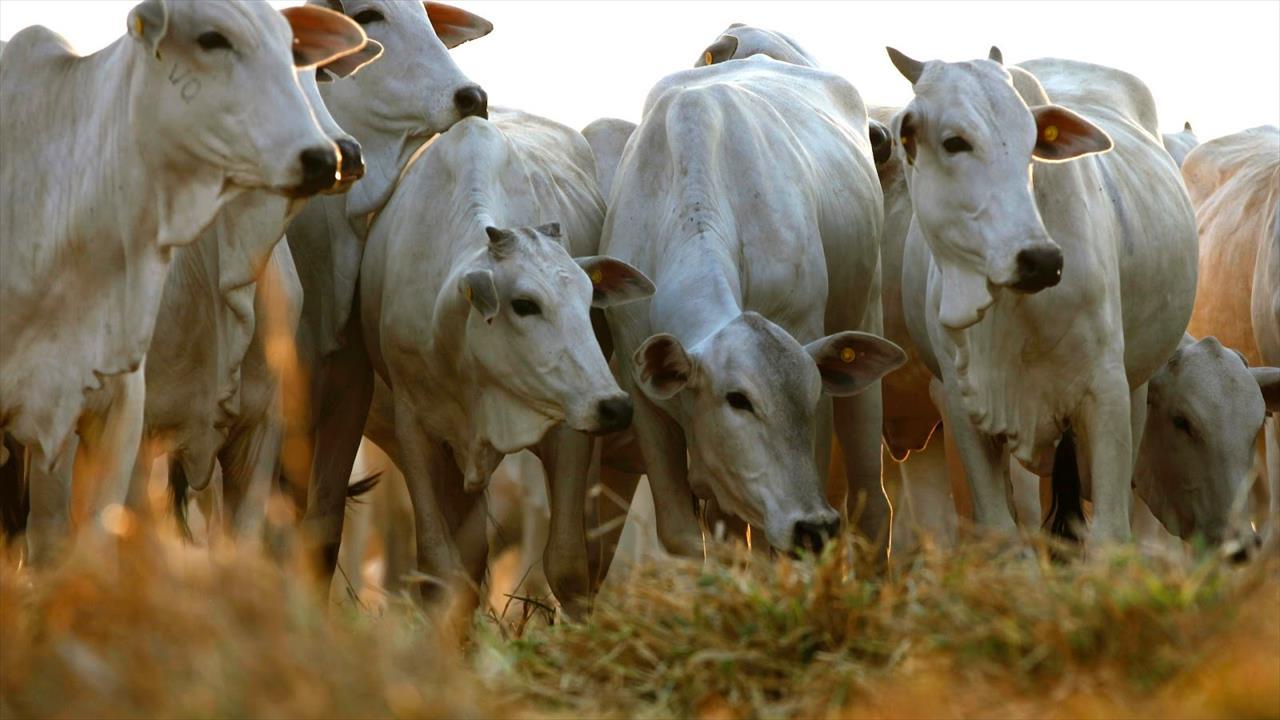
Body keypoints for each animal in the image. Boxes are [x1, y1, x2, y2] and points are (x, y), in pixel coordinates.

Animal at [360, 109, 655, 614]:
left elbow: (568, 564)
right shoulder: (414, 427)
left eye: (590, 300)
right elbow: (440, 566)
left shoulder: (569, 428)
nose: (615, 407)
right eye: (524, 304)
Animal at [604, 53, 906, 558]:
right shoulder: (643, 393)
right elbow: (684, 534)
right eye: (738, 399)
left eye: (810, 393)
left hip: (864, 316)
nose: (814, 527)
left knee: (872, 509)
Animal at [890, 49, 1198, 543]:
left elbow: (1110, 531)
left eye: (1032, 142)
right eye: (955, 142)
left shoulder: (1106, 390)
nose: (1040, 259)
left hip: (1135, 387)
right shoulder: (960, 399)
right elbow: (1000, 526)